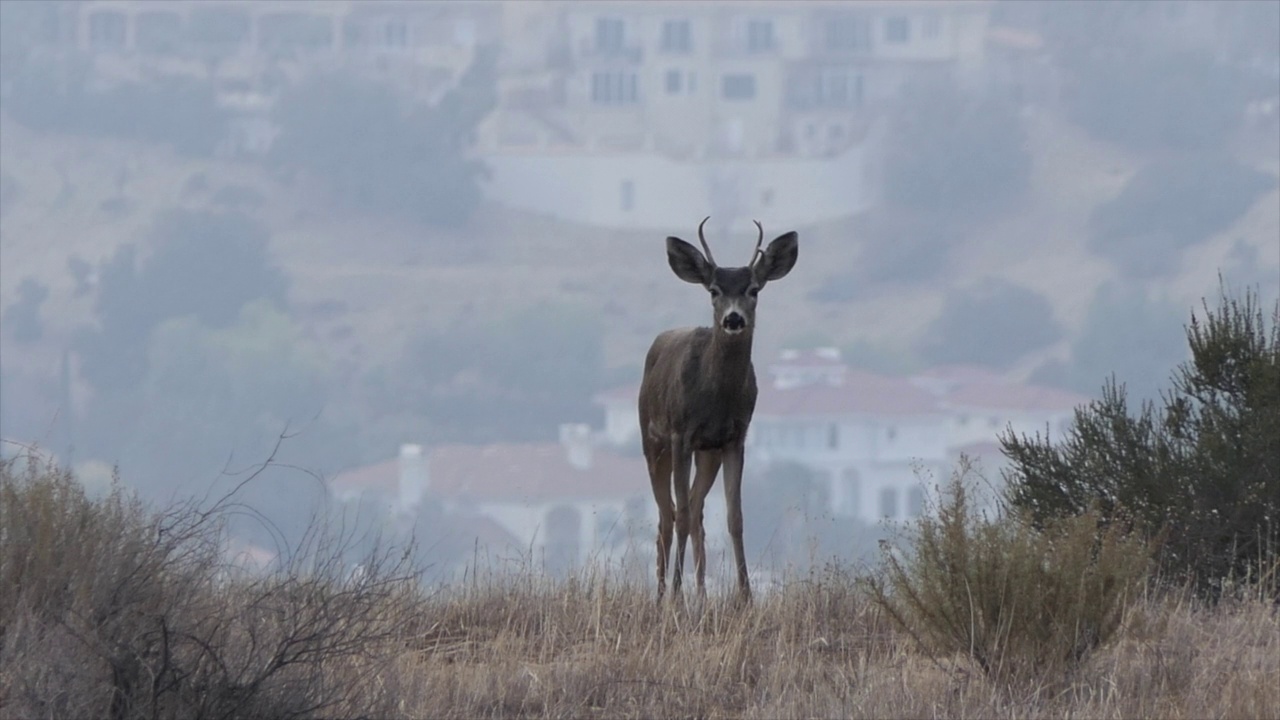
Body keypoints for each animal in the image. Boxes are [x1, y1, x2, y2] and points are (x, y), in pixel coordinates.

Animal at [640, 215, 798, 602]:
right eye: (713, 290)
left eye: (754, 289)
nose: (733, 319)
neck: (715, 397)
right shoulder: (681, 434)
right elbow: (680, 514)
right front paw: (676, 597)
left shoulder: (734, 438)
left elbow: (734, 517)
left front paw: (746, 597)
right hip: (652, 440)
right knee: (668, 514)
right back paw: (663, 594)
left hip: (706, 452)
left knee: (696, 511)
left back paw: (701, 594)